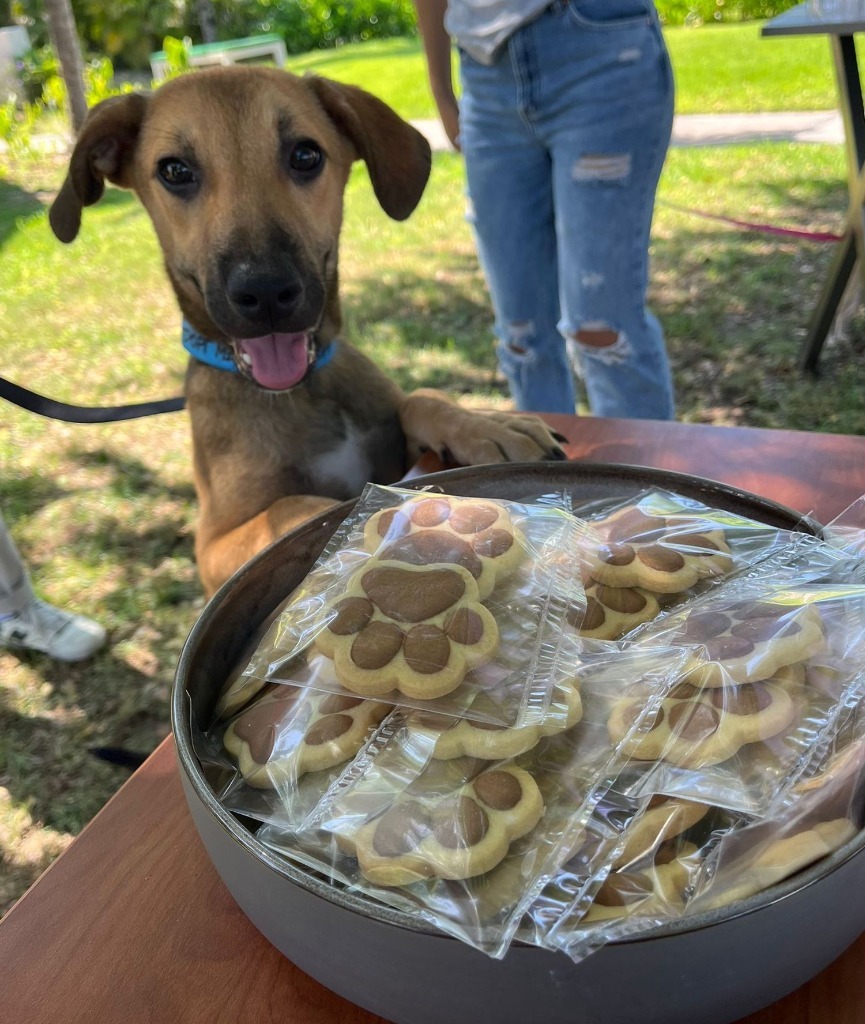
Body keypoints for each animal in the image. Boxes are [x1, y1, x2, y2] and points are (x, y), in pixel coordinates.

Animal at [47, 68, 565, 598]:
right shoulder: (213, 543)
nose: (266, 293)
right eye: (174, 171)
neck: (303, 390)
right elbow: (290, 506)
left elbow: (421, 398)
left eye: (305, 155)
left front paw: (488, 424)